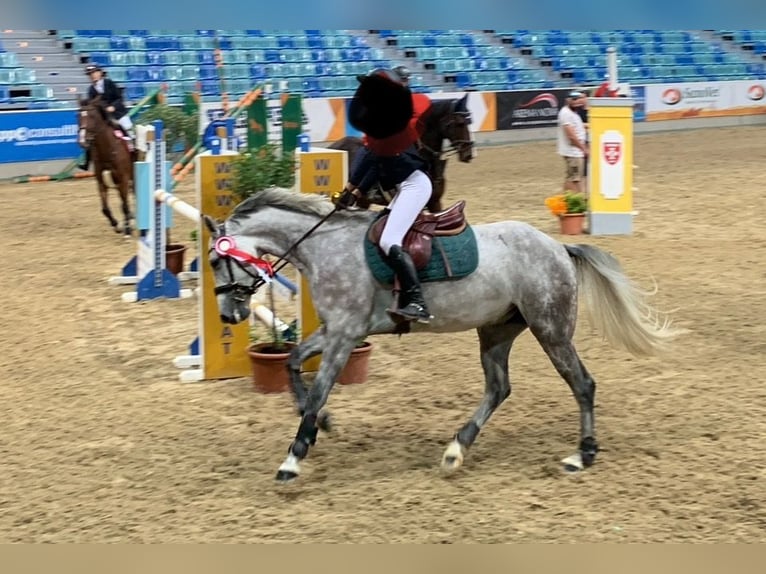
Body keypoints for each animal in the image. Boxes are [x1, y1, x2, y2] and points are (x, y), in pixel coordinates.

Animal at [202, 188, 684, 482]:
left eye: (213, 261)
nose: (229, 315)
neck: (325, 247)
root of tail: (557, 247)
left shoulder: (345, 334)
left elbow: (318, 388)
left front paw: (294, 456)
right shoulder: (338, 330)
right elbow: (293, 363)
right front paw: (322, 424)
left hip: (551, 330)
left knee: (582, 384)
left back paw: (581, 455)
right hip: (497, 330)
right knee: (498, 387)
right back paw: (456, 449)